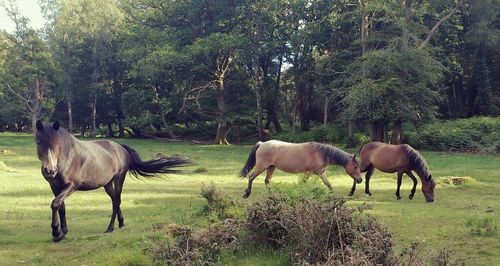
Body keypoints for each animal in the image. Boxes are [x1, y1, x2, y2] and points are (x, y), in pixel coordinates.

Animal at [33, 121, 189, 242]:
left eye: (58, 144)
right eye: (39, 142)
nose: (50, 170)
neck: (67, 158)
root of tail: (120, 147)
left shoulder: (72, 185)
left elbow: (55, 204)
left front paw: (56, 233)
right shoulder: (55, 186)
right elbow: (61, 207)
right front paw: (63, 233)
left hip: (119, 178)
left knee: (116, 202)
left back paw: (110, 228)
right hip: (107, 184)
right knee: (115, 199)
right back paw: (121, 224)